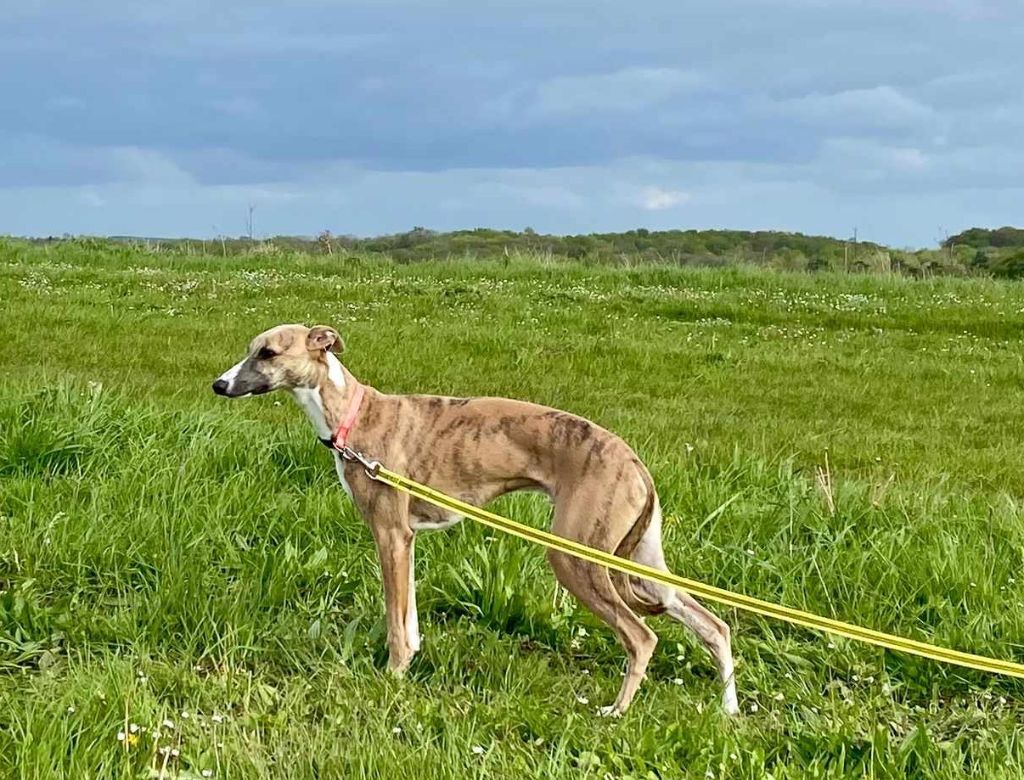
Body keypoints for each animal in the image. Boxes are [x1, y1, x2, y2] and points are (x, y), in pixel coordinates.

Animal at [211, 321, 737, 712]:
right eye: (251, 349)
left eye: (268, 353)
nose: (219, 384)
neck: (353, 415)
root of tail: (634, 461)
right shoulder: (406, 541)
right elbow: (410, 620)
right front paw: (409, 664)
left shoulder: (390, 534)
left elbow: (396, 623)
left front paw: (392, 678)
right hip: (643, 564)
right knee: (714, 625)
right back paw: (728, 710)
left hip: (579, 559)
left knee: (642, 637)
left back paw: (616, 712)